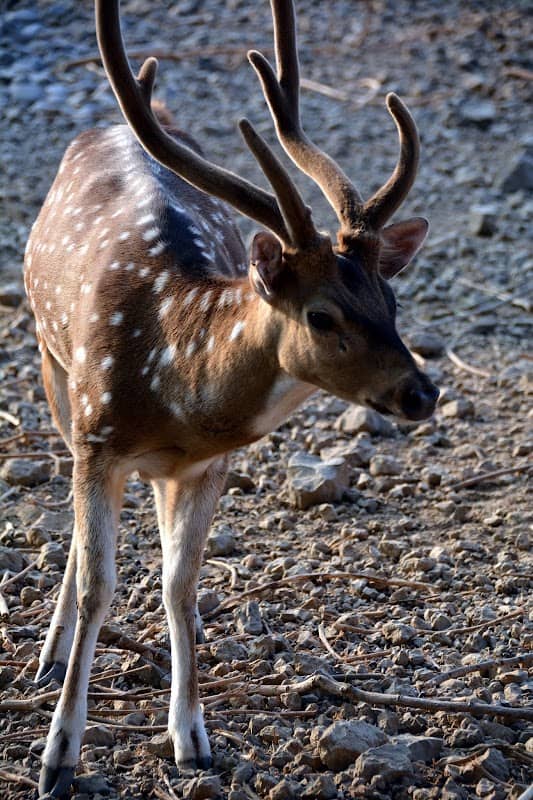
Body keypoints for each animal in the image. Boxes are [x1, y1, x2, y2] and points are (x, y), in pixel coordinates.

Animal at [24, 0, 438, 795]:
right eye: (322, 316)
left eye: (392, 300)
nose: (420, 392)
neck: (175, 385)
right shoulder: (97, 440)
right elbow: (99, 585)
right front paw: (58, 754)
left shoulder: (207, 467)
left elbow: (180, 585)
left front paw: (191, 737)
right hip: (51, 365)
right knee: (79, 535)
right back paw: (50, 653)